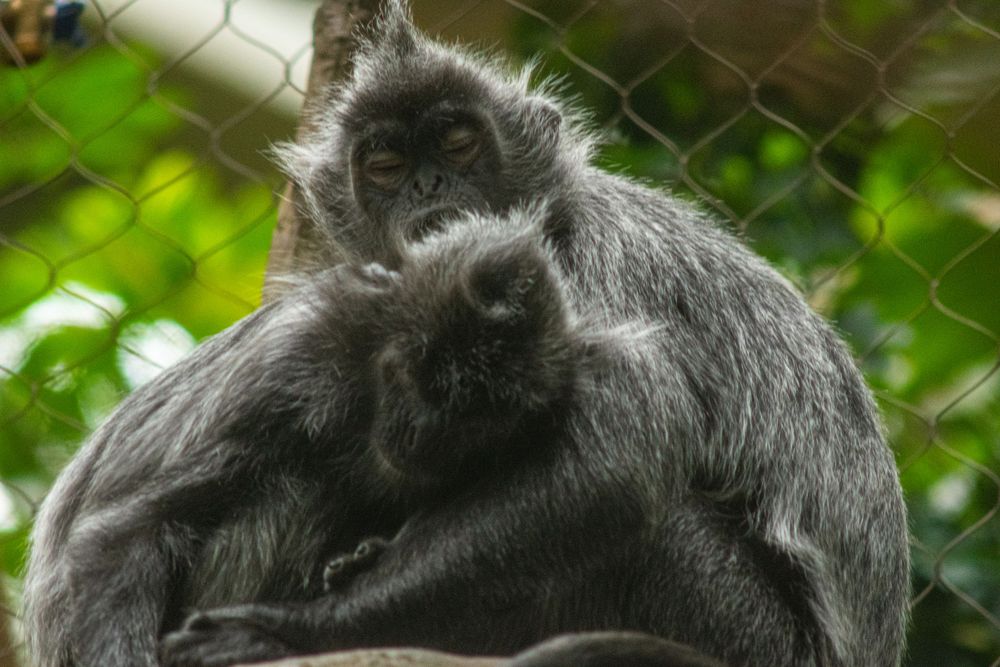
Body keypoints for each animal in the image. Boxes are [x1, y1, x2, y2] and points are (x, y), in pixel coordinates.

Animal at [159, 2, 910, 666]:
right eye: (386, 166)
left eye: (460, 145)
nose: (430, 186)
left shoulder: (576, 275)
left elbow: (619, 453)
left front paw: (296, 629)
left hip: (742, 627)